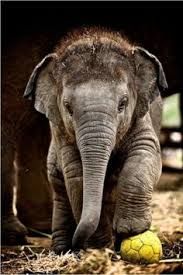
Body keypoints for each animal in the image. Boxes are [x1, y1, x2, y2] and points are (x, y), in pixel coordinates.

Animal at [24, 28, 167, 254]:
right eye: (68, 107)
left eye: (123, 103)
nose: (78, 244)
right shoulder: (61, 132)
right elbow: (76, 176)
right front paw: (99, 249)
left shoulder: (141, 118)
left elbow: (144, 154)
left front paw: (131, 230)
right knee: (60, 190)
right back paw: (62, 249)